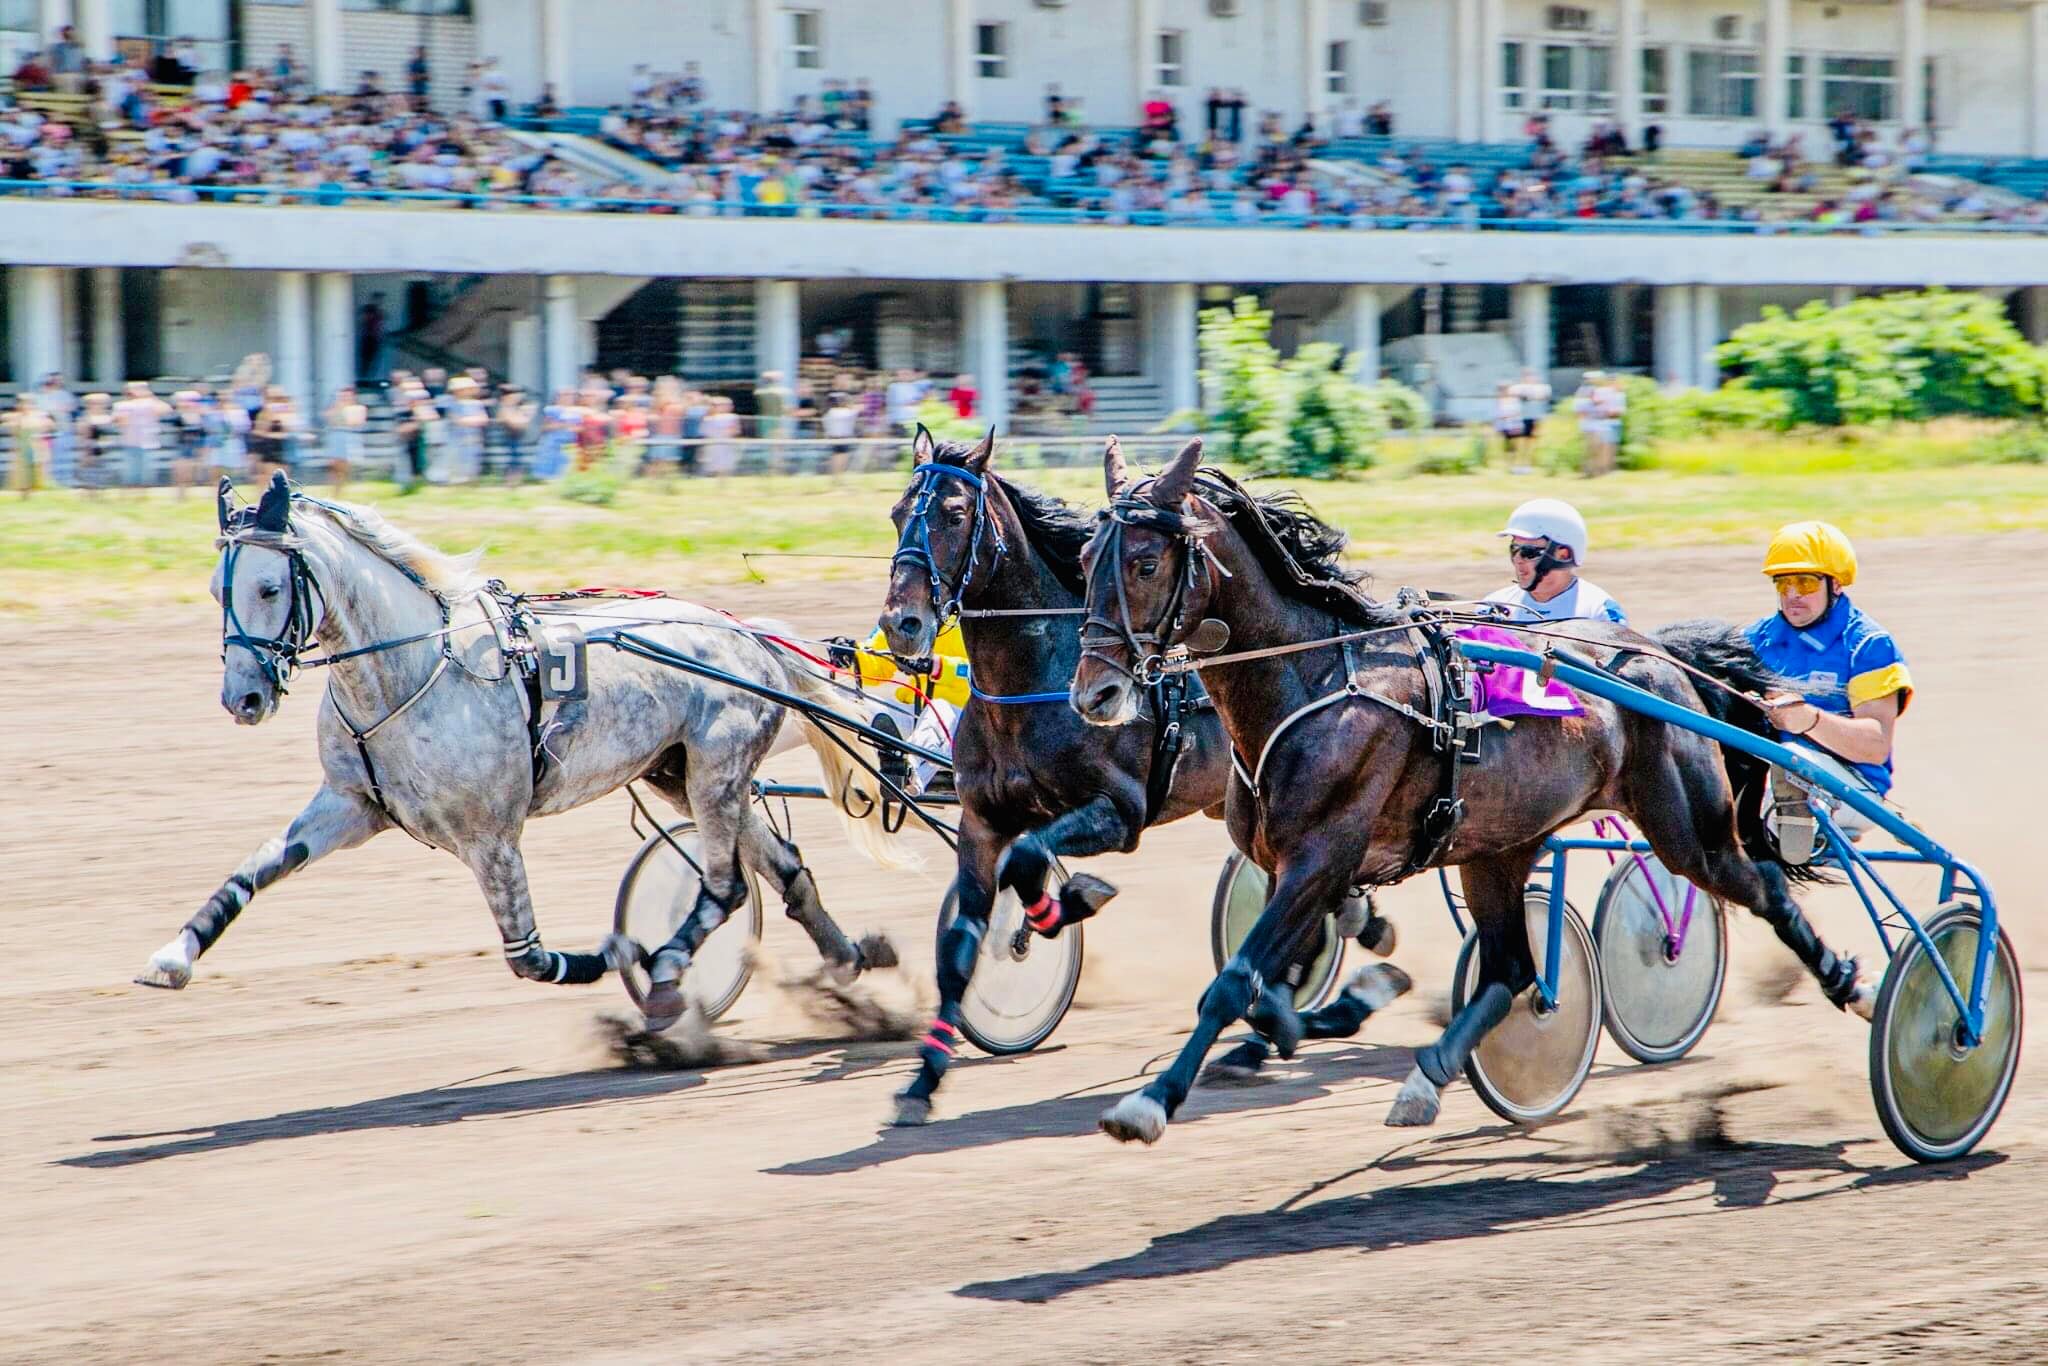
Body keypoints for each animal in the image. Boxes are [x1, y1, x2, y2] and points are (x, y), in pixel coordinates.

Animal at [146, 475, 905, 1019]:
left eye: (269, 586)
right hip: (681, 775)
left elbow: (528, 956)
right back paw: (847, 957)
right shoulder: (350, 804)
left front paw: (618, 951)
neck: (411, 671)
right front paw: (173, 956)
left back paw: (665, 970)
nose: (243, 698)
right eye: (216, 590)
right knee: (784, 868)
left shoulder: (490, 837)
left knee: (723, 885)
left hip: (716, 771)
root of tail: (746, 635)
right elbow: (252, 871)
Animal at [876, 432, 1409, 1130]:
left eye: (955, 514)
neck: (1036, 679)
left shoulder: (1118, 811)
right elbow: (960, 948)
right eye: (896, 513)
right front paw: (922, 1082)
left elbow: (1030, 857)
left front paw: (1065, 905)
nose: (901, 623)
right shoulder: (980, 822)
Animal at [1073, 438, 1875, 1146]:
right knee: (1514, 967)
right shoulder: (1287, 866)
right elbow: (1278, 983)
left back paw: (1854, 987)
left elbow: (1237, 980)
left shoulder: (1322, 857)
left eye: (1145, 562)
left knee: (1765, 888)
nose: (1095, 694)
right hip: (1499, 845)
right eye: (1083, 558)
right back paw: (1426, 1077)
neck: (1316, 678)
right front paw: (1327, 1009)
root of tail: (1661, 658)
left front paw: (1149, 1101)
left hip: (1687, 831)